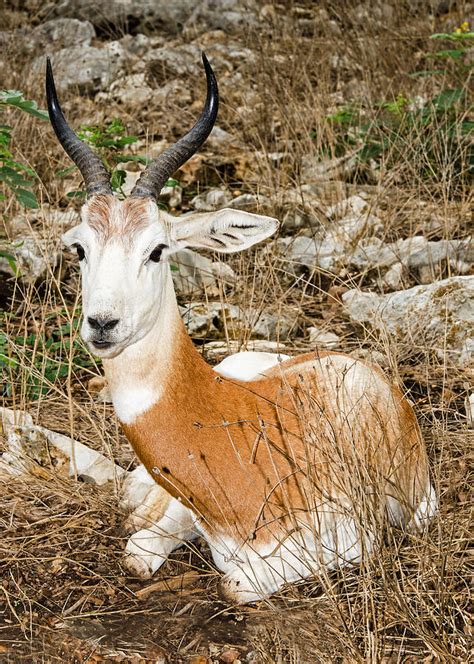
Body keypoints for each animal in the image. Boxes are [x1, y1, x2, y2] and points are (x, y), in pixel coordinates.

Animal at [45, 53, 436, 600]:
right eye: (79, 247)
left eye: (157, 248)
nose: (103, 323)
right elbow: (139, 552)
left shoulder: (354, 539)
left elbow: (231, 583)